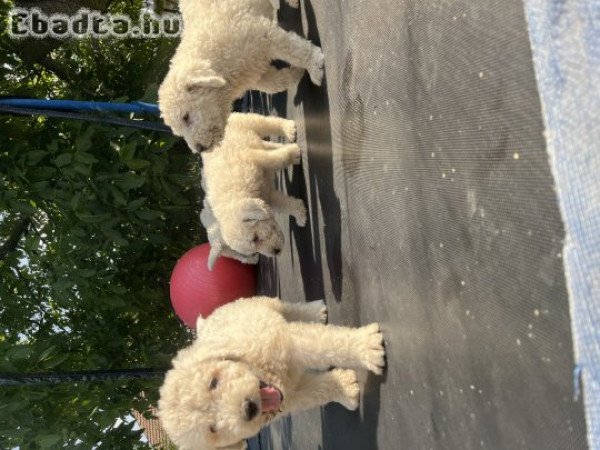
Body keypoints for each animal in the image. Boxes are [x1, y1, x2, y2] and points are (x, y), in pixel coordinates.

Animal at [157, 298, 386, 448]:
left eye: (213, 383)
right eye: (212, 429)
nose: (248, 408)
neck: (266, 372)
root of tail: (203, 326)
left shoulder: (285, 342)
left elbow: (321, 344)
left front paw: (365, 347)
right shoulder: (291, 397)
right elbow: (315, 392)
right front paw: (347, 389)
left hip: (256, 304)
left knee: (285, 308)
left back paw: (315, 311)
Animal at [158, 0, 324, 153]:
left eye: (185, 117)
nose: (199, 149)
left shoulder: (262, 34)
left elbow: (294, 50)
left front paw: (314, 66)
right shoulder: (256, 73)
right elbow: (274, 84)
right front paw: (297, 74)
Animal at [203, 112, 308, 260]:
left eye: (255, 238)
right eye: (253, 251)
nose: (276, 252)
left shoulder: (253, 158)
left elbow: (278, 159)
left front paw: (293, 154)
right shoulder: (267, 197)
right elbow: (284, 204)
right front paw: (300, 214)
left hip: (245, 122)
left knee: (268, 123)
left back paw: (288, 129)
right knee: (268, 144)